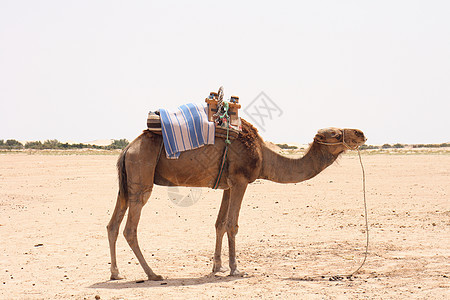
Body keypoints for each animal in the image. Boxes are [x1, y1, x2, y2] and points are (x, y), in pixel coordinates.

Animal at [107, 118, 368, 280]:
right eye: (335, 133)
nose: (361, 133)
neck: (263, 157)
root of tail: (127, 148)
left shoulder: (227, 185)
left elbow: (219, 224)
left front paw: (217, 266)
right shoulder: (241, 181)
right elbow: (232, 225)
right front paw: (235, 268)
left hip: (126, 183)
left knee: (112, 225)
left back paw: (116, 273)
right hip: (141, 176)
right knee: (130, 229)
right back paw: (153, 274)